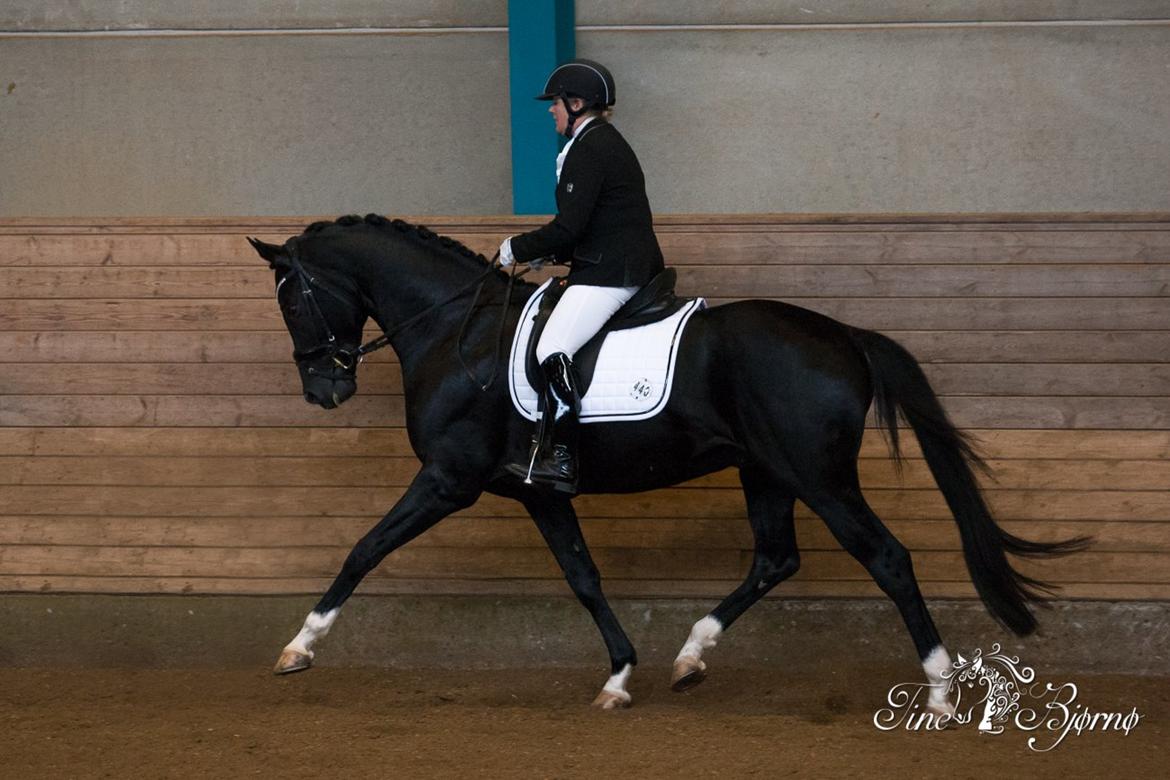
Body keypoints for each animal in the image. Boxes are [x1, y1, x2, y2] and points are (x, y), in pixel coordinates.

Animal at [246, 214, 1085, 715]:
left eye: (290, 299)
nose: (324, 391)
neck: (458, 331)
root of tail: (845, 336)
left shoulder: (449, 481)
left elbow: (365, 548)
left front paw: (299, 646)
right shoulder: (536, 493)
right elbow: (583, 576)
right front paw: (620, 675)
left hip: (818, 478)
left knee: (886, 557)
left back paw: (939, 691)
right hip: (766, 473)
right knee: (775, 559)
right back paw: (691, 656)